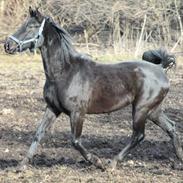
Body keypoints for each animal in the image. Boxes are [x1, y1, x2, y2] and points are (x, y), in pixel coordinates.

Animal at [4, 7, 183, 170]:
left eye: (32, 26)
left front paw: (97, 162)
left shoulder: (77, 112)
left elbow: (75, 141)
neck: (64, 73)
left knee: (138, 135)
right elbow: (38, 134)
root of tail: (160, 68)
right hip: (153, 110)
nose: (7, 45)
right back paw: (179, 161)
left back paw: (112, 163)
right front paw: (20, 166)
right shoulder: (52, 108)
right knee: (171, 127)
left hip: (140, 109)